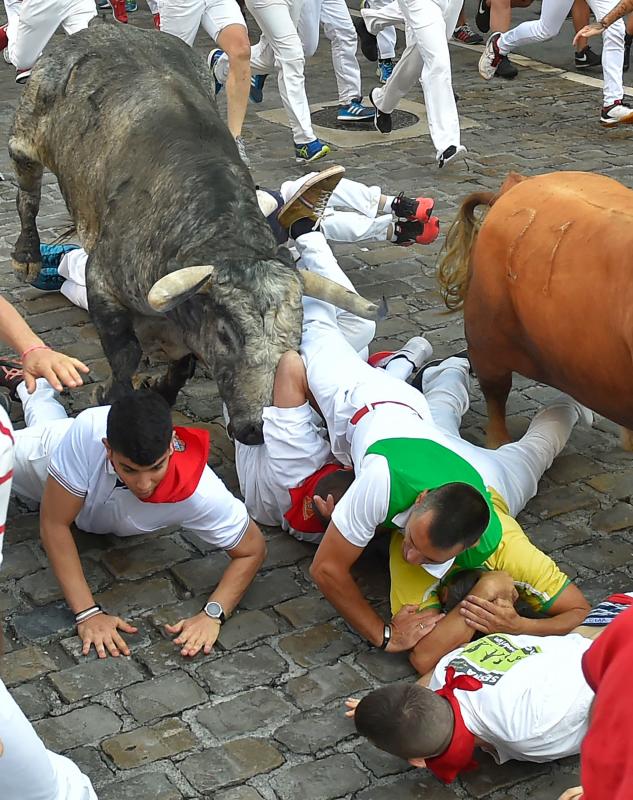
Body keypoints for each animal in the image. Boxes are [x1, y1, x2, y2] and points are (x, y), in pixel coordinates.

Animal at [9, 20, 378, 444]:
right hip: (26, 135)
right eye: (225, 334)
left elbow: (183, 363)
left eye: (295, 339)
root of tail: (104, 28)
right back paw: (26, 258)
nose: (256, 428)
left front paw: (163, 389)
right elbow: (125, 353)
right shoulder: (102, 280)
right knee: (28, 195)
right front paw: (109, 394)